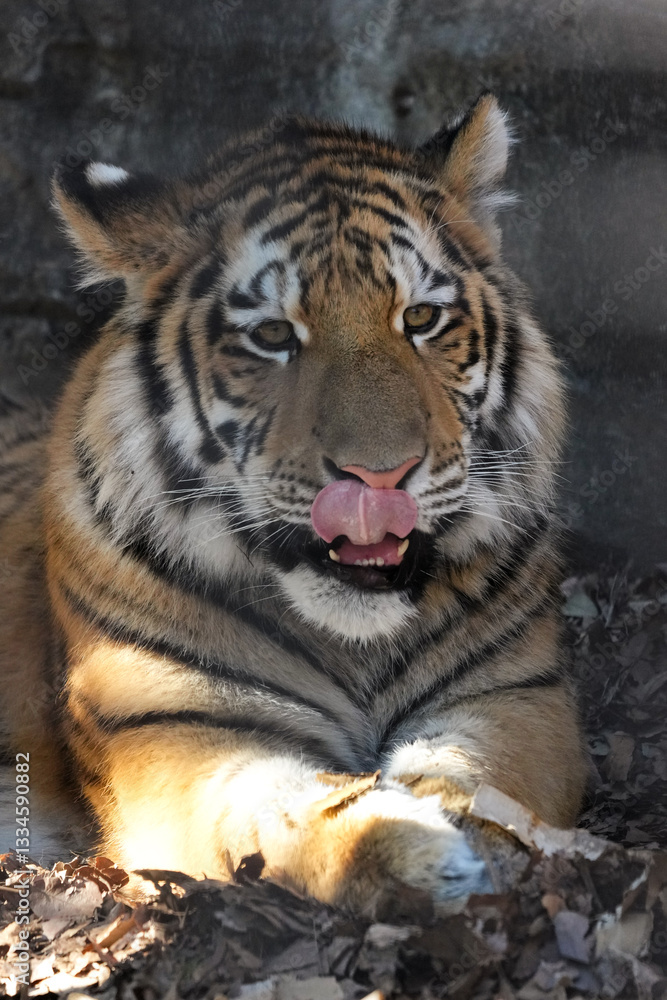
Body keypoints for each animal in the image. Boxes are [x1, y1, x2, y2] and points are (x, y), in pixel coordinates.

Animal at [0, 94, 588, 915]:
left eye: (420, 319)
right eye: (273, 335)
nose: (378, 476)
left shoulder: (518, 696)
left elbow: (476, 776)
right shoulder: (169, 719)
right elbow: (272, 804)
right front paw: (414, 853)